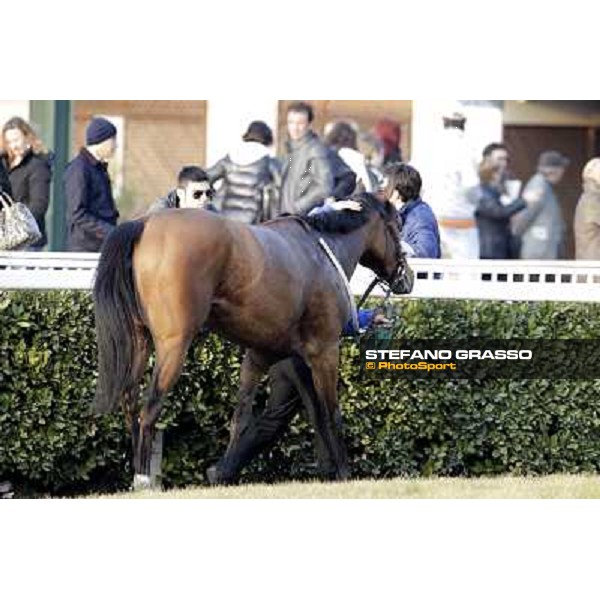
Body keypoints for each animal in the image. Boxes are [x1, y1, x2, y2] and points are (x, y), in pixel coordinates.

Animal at [94, 192, 410, 488]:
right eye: (397, 225)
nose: (407, 277)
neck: (321, 251)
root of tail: (143, 224)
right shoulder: (324, 350)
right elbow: (330, 413)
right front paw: (344, 472)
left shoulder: (263, 354)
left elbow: (245, 418)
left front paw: (222, 472)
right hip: (173, 345)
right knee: (149, 410)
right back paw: (143, 478)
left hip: (139, 341)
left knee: (130, 404)